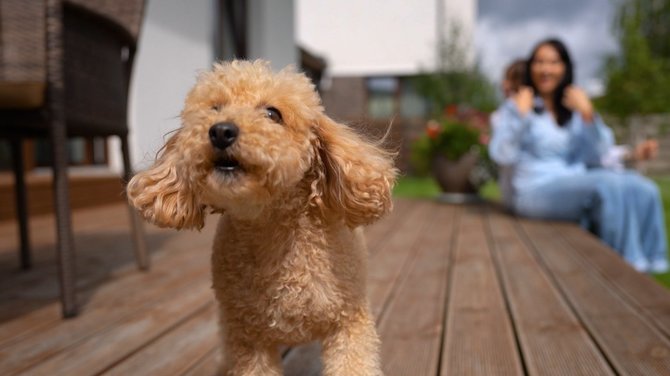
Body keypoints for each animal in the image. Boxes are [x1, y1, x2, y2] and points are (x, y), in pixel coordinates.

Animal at [129, 60, 396, 374]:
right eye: (215, 108)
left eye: (273, 114)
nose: (221, 131)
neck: (273, 228)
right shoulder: (248, 337)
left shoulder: (349, 322)